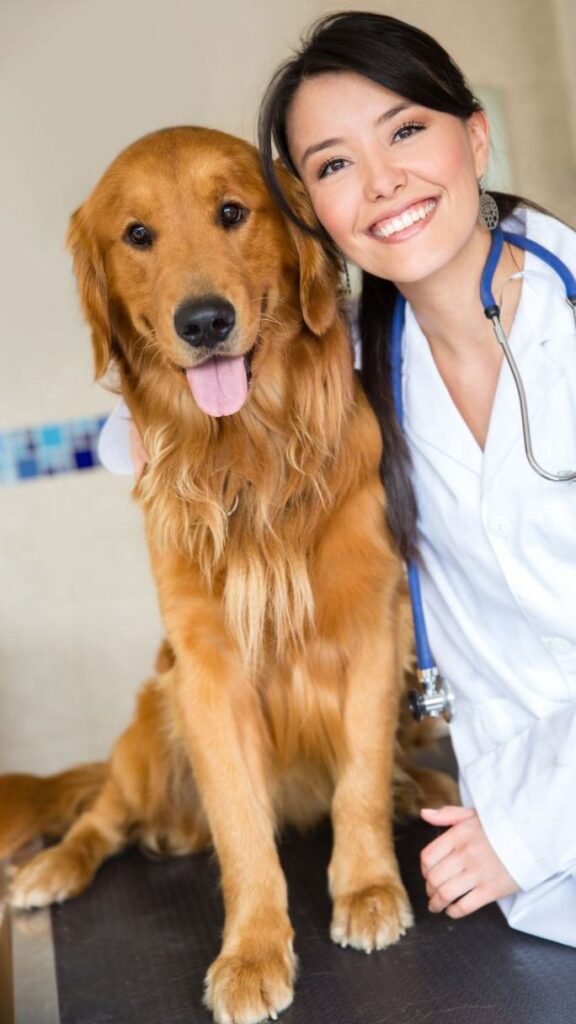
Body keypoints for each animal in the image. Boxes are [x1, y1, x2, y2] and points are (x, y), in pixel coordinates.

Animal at [0, 125, 450, 1024]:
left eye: (234, 212)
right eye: (137, 235)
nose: (205, 321)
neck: (251, 455)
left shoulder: (372, 624)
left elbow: (355, 780)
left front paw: (367, 887)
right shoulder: (206, 669)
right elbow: (242, 828)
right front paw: (251, 952)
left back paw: (411, 785)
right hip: (150, 717)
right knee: (102, 813)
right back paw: (52, 866)